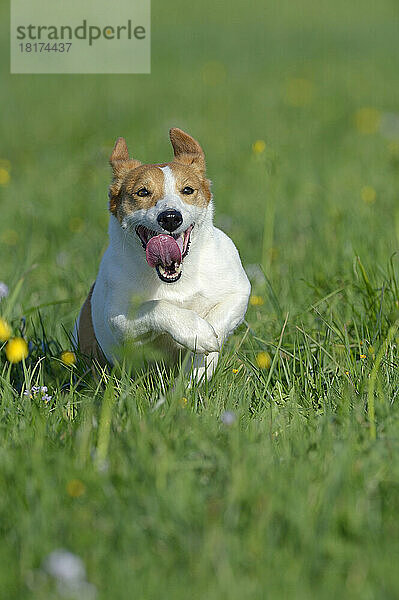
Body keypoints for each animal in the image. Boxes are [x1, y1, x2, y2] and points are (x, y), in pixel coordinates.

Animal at [74, 129, 252, 382]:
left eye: (187, 190)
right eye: (142, 192)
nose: (170, 217)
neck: (177, 280)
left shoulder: (238, 292)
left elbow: (220, 317)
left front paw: (203, 354)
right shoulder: (118, 321)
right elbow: (157, 306)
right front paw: (197, 332)